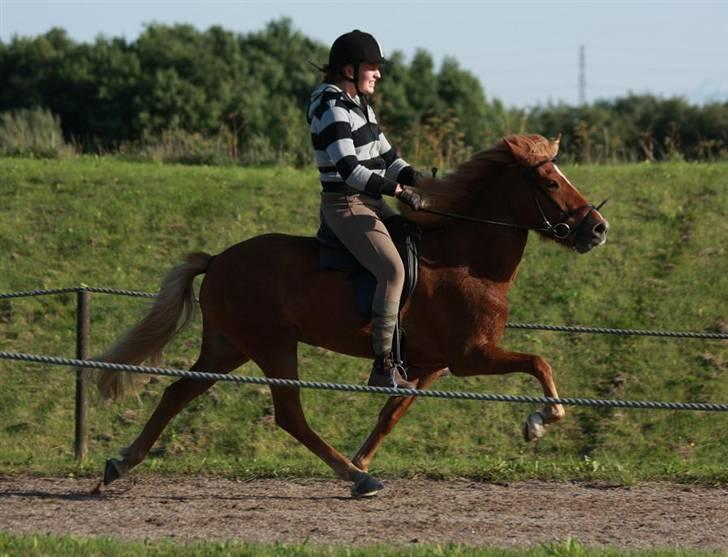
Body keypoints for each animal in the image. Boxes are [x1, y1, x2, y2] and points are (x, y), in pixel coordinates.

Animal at [96, 134, 608, 496]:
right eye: (550, 182)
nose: (598, 229)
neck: (465, 259)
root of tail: (218, 259)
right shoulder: (472, 355)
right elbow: (539, 362)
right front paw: (541, 420)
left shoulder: (431, 364)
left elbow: (393, 411)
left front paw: (364, 458)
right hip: (272, 345)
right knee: (289, 415)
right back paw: (354, 479)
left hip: (229, 347)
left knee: (179, 392)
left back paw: (120, 464)